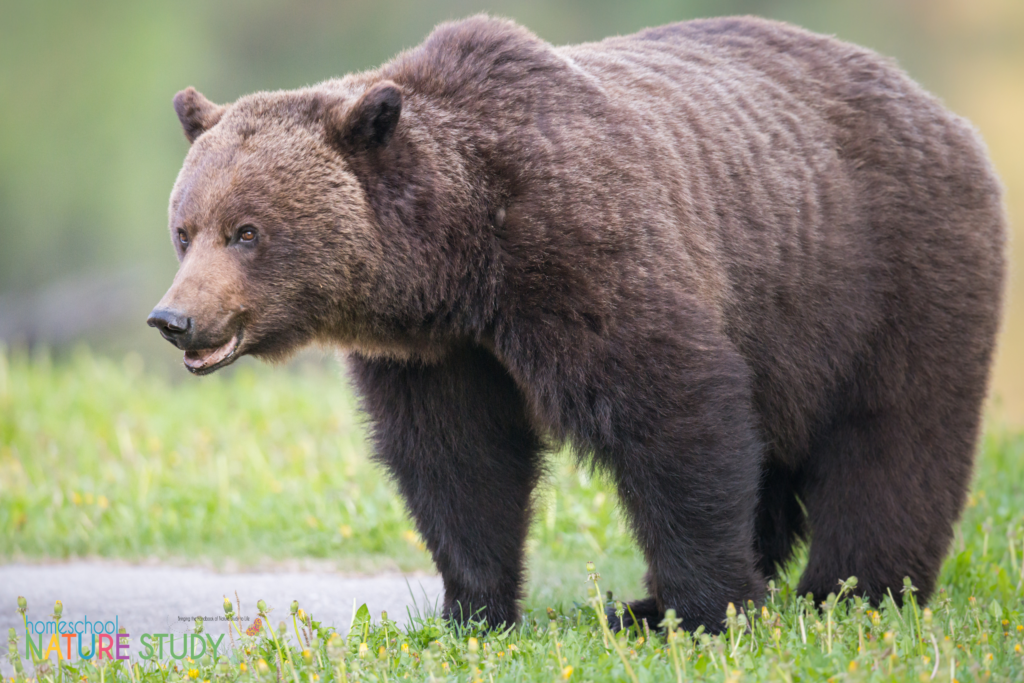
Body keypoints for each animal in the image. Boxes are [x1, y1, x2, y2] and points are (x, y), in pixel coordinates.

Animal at [148, 14, 1003, 630]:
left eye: (248, 231)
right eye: (186, 229)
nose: (175, 317)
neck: (463, 260)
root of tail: (940, 109)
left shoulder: (584, 251)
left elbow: (674, 410)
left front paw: (711, 607)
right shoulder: (441, 353)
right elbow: (458, 460)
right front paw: (473, 607)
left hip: (885, 271)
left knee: (893, 438)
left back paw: (853, 590)